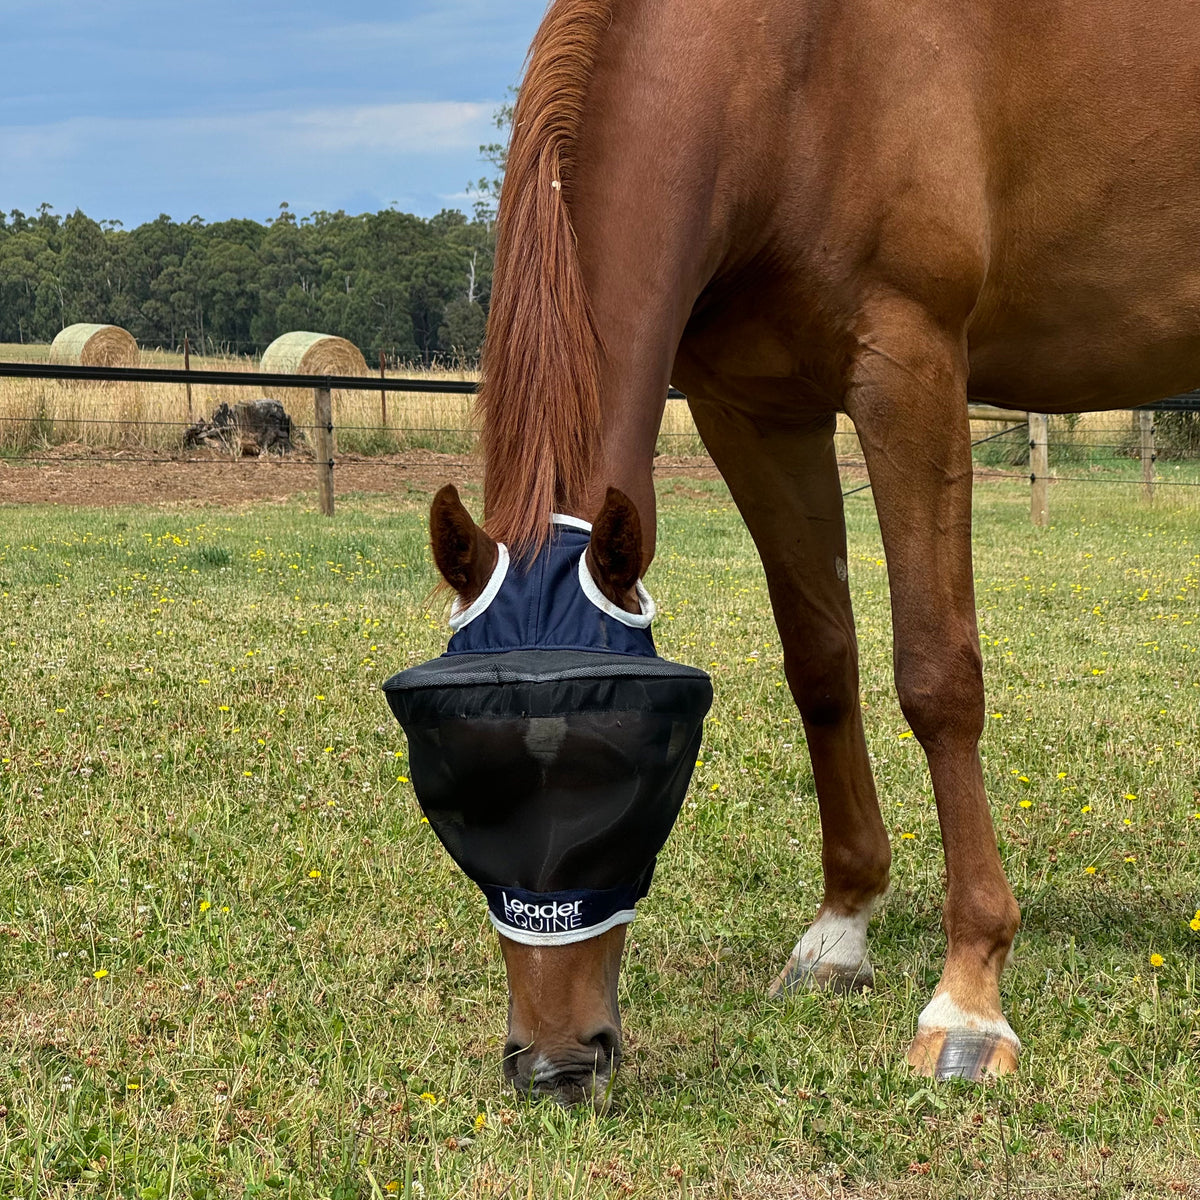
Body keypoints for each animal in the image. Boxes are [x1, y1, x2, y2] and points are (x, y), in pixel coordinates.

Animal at [428, 0, 1200, 1103]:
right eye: (450, 786)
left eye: (632, 770)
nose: (556, 1063)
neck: (795, 69)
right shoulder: (755, 411)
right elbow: (822, 664)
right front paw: (842, 931)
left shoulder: (909, 366)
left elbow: (936, 676)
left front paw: (969, 998)